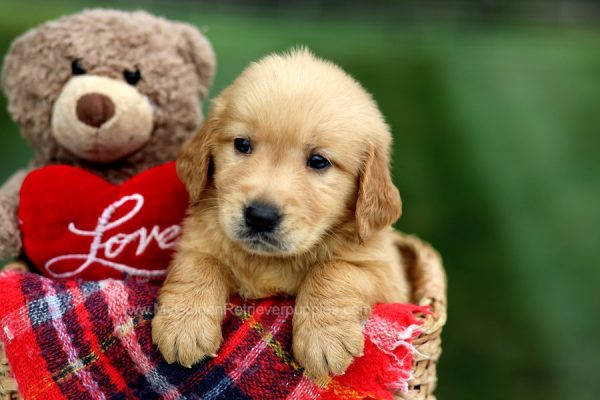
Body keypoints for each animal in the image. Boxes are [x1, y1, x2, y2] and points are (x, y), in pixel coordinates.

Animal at [152, 48, 410, 376]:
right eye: (242, 144)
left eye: (318, 161)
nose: (260, 216)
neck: (269, 261)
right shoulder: (195, 240)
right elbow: (198, 264)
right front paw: (184, 326)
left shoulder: (385, 275)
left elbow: (335, 269)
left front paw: (324, 339)